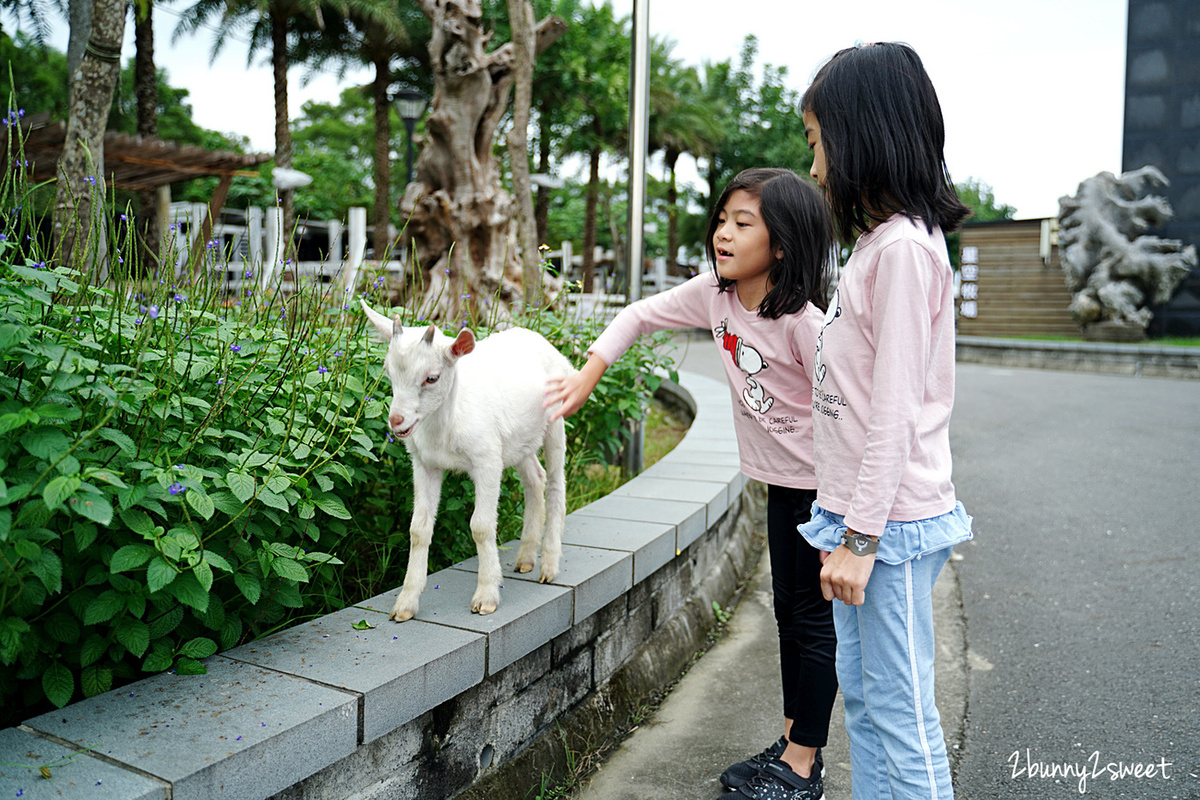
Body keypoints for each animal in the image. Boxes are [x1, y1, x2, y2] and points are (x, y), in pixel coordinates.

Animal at [360, 299, 576, 618]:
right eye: (388, 371)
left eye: (432, 377)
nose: (397, 421)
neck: (446, 428)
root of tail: (542, 341)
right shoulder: (424, 464)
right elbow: (418, 529)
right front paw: (405, 603)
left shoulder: (486, 459)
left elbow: (481, 526)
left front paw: (486, 596)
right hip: (516, 440)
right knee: (535, 478)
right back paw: (525, 558)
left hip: (556, 418)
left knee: (556, 483)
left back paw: (549, 565)